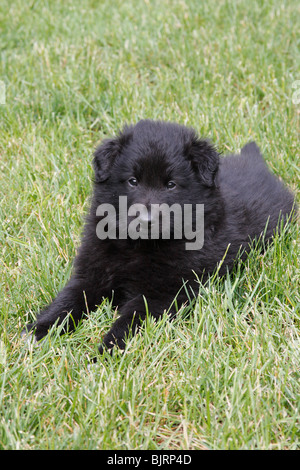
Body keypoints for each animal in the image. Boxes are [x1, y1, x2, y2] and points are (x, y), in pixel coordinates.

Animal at [23, 119, 296, 354]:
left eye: (171, 184)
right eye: (132, 181)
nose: (146, 220)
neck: (137, 247)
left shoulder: (163, 293)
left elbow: (129, 320)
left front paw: (107, 350)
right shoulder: (90, 273)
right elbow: (68, 301)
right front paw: (39, 330)